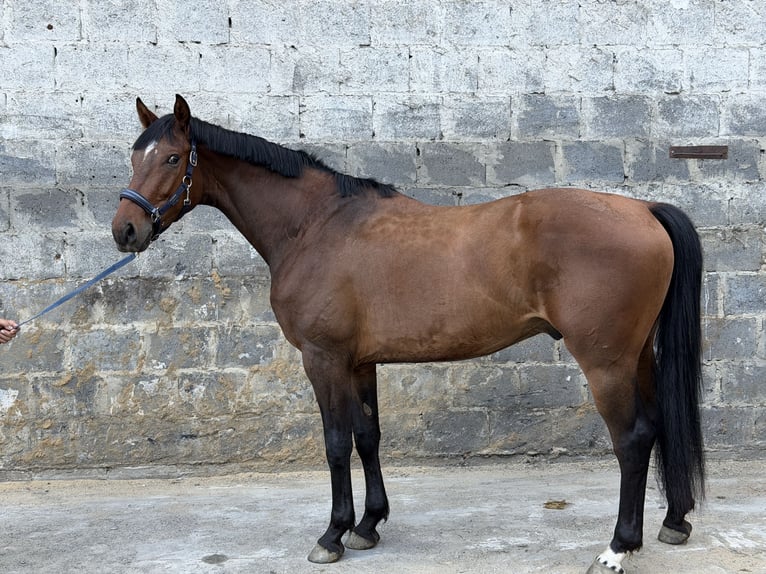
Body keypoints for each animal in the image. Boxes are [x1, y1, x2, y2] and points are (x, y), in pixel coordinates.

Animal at [111, 95, 705, 574]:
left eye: (171, 158)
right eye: (135, 157)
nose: (125, 231)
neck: (316, 226)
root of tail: (644, 209)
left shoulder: (323, 359)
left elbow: (334, 443)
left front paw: (332, 535)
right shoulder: (360, 362)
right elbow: (367, 437)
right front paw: (368, 526)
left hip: (605, 362)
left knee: (632, 439)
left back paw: (617, 547)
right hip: (638, 357)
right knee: (659, 425)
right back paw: (673, 522)